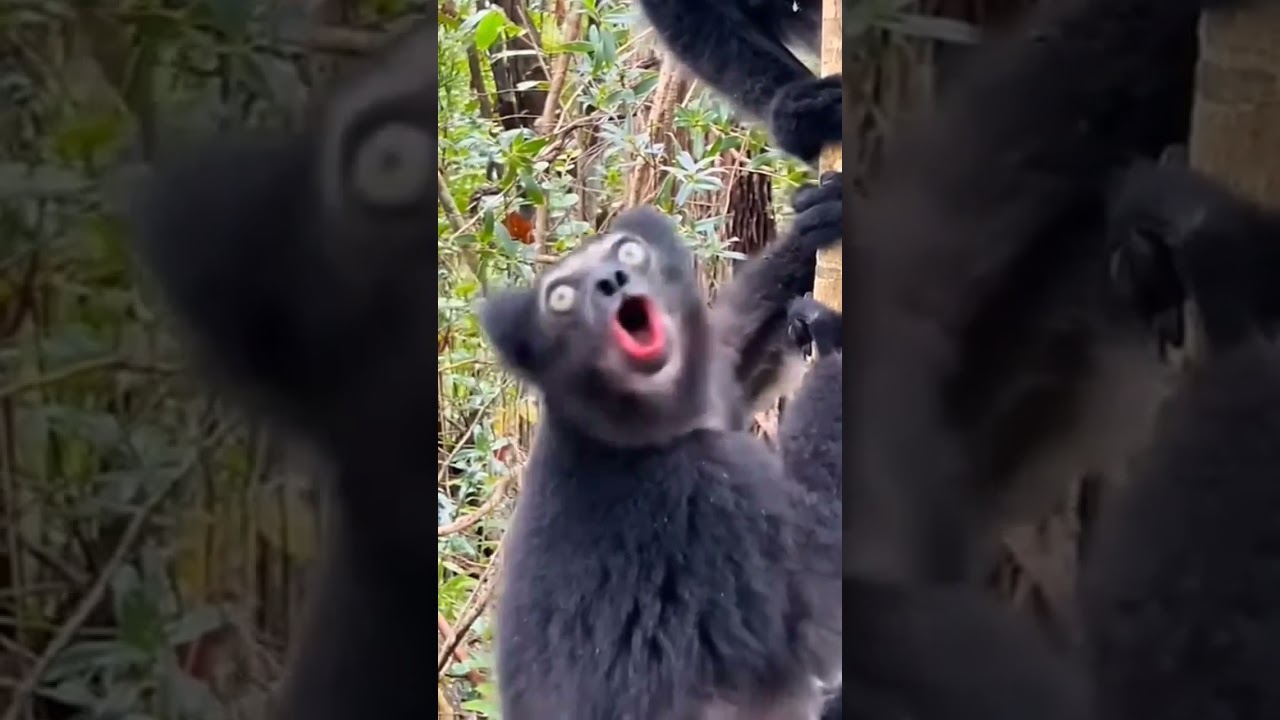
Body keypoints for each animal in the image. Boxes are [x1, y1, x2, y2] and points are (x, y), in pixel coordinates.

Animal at [477, 204, 842, 719]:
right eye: (561, 300)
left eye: (630, 252)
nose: (613, 281)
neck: (624, 434)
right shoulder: (707, 496)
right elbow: (822, 576)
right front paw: (834, 339)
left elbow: (730, 354)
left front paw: (819, 217)